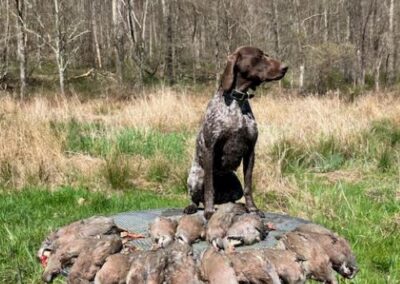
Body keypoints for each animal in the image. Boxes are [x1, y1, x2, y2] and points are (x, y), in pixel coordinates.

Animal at [184, 46, 288, 220]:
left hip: (235, 186)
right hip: (195, 177)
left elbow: (248, 186)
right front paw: (209, 211)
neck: (237, 101)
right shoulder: (209, 149)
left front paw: (252, 209)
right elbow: (209, 187)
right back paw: (193, 207)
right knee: (197, 198)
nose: (285, 67)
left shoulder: (250, 151)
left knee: (230, 199)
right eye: (259, 56)